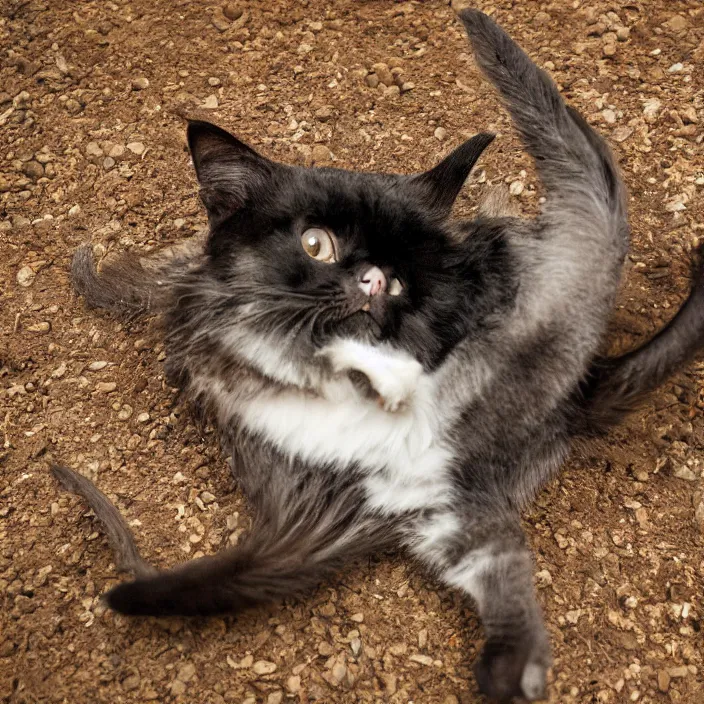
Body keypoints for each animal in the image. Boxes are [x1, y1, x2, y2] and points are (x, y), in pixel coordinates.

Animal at [52, 11, 704, 704]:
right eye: (315, 243)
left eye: (403, 271)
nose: (372, 280)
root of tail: (574, 395)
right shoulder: (216, 320)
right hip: (446, 514)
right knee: (501, 555)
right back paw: (512, 669)